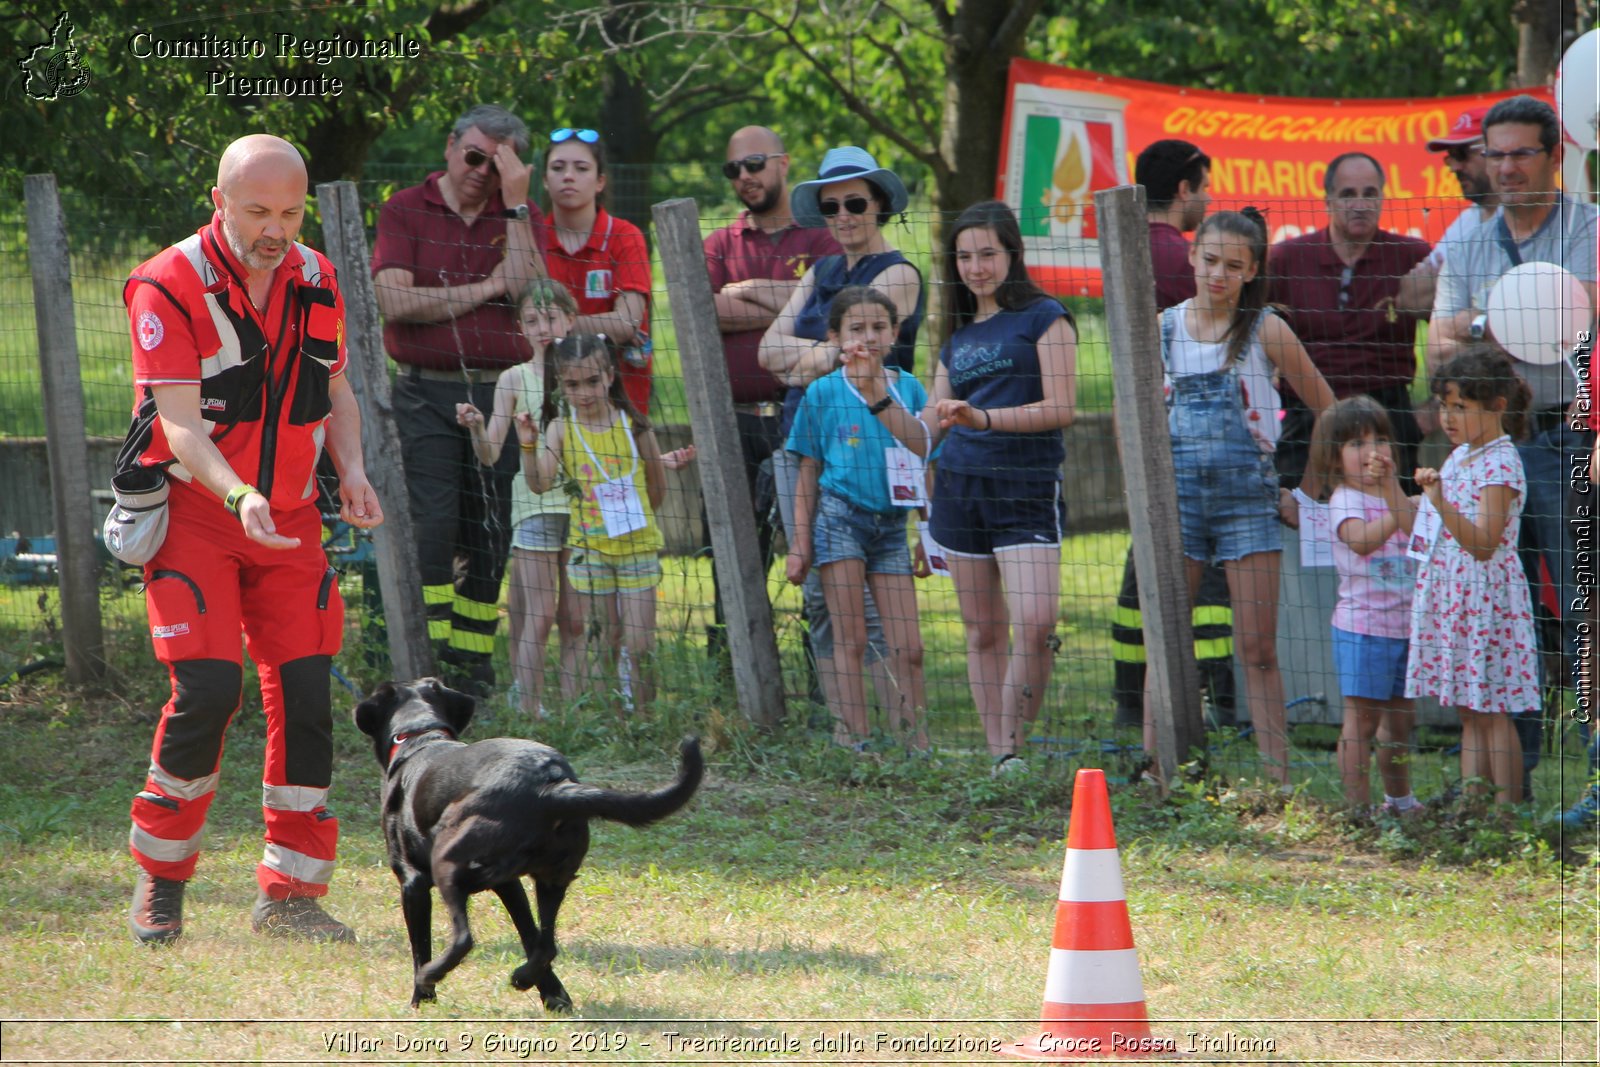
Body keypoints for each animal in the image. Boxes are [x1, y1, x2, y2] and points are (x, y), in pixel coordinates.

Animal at [353, 684, 704, 1011]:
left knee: (464, 938)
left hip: (446, 861)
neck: (420, 736)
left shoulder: (412, 882)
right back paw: (524, 978)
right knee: (546, 944)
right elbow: (529, 934)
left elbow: (420, 945)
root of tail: (550, 788)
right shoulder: (510, 884)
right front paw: (553, 994)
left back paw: (431, 975)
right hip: (552, 878)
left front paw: (421, 998)